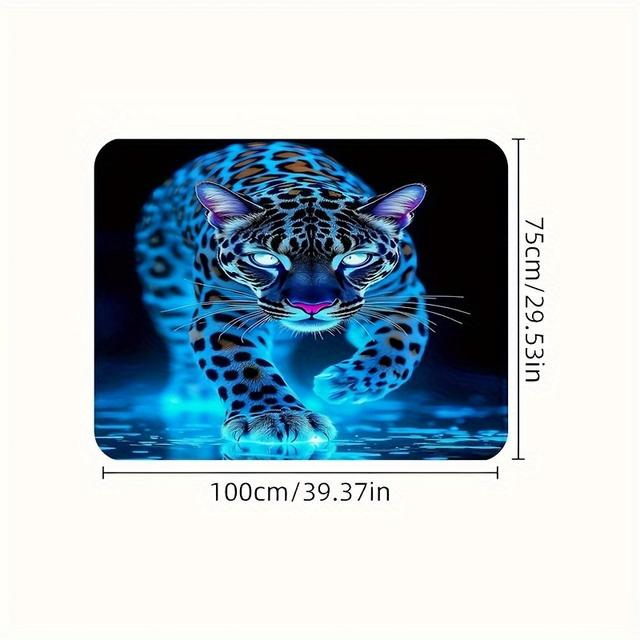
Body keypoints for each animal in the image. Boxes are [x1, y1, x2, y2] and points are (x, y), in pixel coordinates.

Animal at [135, 141, 429, 444]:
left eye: (355, 258)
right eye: (265, 259)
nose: (312, 306)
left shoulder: (401, 296)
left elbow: (400, 348)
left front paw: (343, 383)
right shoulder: (224, 312)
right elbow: (244, 365)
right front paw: (276, 416)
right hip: (164, 286)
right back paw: (191, 393)